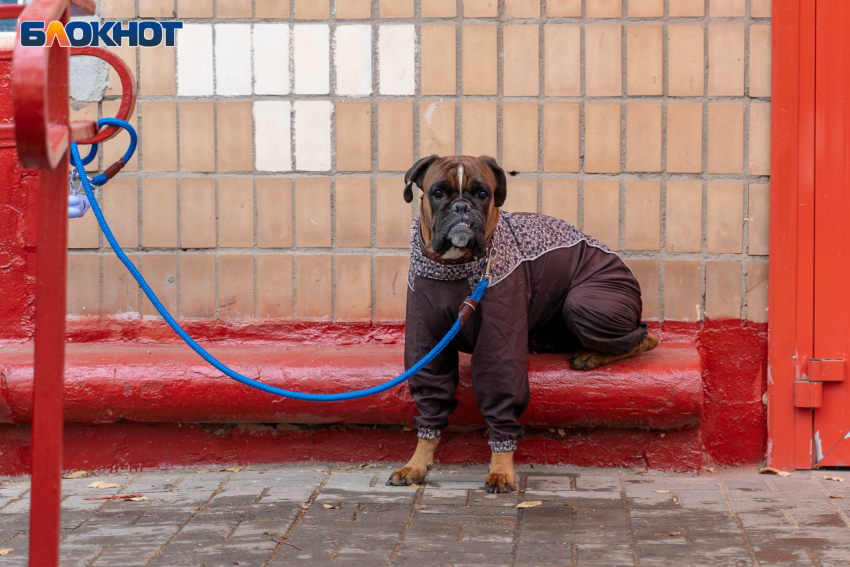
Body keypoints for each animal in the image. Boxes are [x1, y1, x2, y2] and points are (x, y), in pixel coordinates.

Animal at [388, 155, 660, 492]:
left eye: (483, 194)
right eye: (438, 193)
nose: (462, 207)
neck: (454, 264)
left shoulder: (499, 344)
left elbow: (501, 398)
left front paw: (501, 469)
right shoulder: (427, 344)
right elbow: (430, 403)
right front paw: (415, 464)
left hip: (586, 304)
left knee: (644, 337)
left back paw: (590, 355)